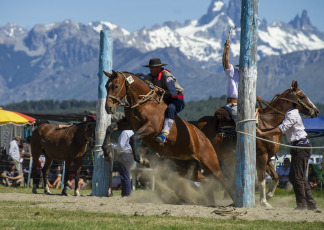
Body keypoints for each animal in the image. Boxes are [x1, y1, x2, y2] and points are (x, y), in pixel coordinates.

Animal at [101, 71, 233, 204]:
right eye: (106, 86)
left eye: (116, 86)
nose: (108, 108)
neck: (144, 103)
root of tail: (204, 139)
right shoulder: (128, 123)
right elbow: (110, 128)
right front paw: (107, 152)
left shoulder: (150, 128)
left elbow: (133, 138)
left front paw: (144, 160)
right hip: (186, 169)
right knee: (206, 181)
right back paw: (209, 202)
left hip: (211, 164)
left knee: (223, 180)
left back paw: (233, 201)